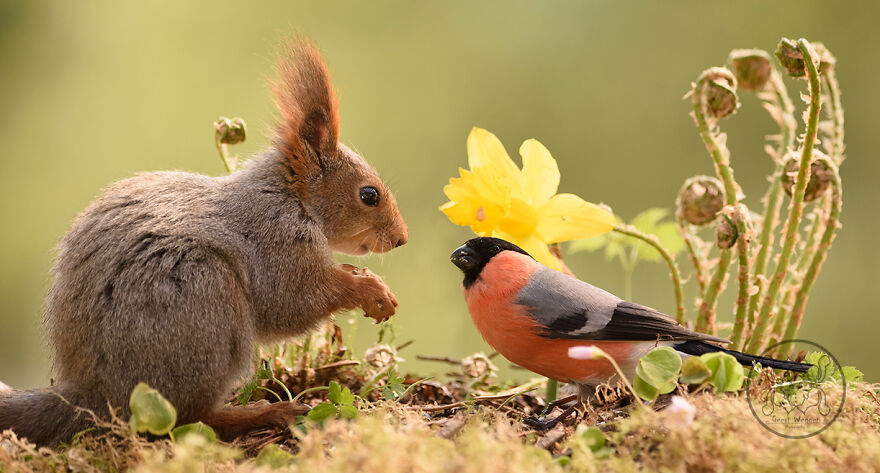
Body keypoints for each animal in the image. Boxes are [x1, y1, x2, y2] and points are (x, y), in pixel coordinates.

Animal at [0, 38, 408, 446]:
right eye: (369, 195)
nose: (401, 239)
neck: (289, 197)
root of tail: (94, 395)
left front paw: (364, 277)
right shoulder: (275, 242)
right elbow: (295, 300)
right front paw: (370, 290)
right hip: (205, 310)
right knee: (191, 418)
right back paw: (265, 412)